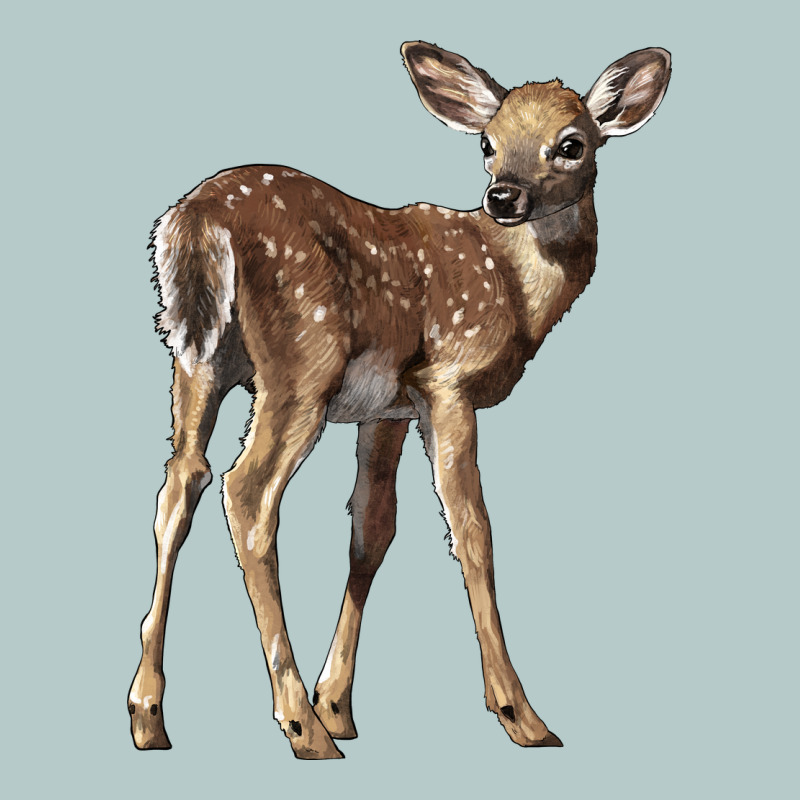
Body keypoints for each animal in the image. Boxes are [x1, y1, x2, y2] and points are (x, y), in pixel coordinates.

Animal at [128, 41, 671, 759]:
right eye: (487, 143)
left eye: (571, 144)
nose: (503, 196)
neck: (515, 290)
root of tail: (196, 219)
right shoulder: (448, 380)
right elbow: (473, 531)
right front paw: (520, 716)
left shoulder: (387, 407)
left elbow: (371, 530)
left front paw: (339, 705)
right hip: (302, 360)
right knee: (246, 491)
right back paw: (299, 729)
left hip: (196, 357)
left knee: (180, 482)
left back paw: (150, 715)